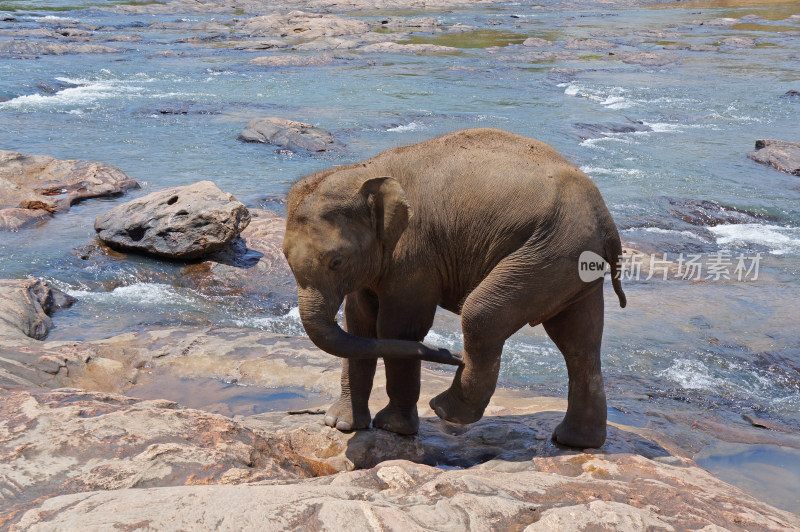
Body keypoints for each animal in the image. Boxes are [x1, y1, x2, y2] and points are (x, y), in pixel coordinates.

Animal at [282, 129, 624, 448]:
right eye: (285, 256)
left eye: (336, 261)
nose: (450, 354)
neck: (364, 171)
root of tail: (606, 220)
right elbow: (359, 323)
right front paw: (341, 425)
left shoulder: (415, 251)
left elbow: (399, 328)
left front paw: (392, 428)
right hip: (571, 265)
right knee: (578, 342)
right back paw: (576, 442)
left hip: (547, 254)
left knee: (482, 315)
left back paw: (445, 410)